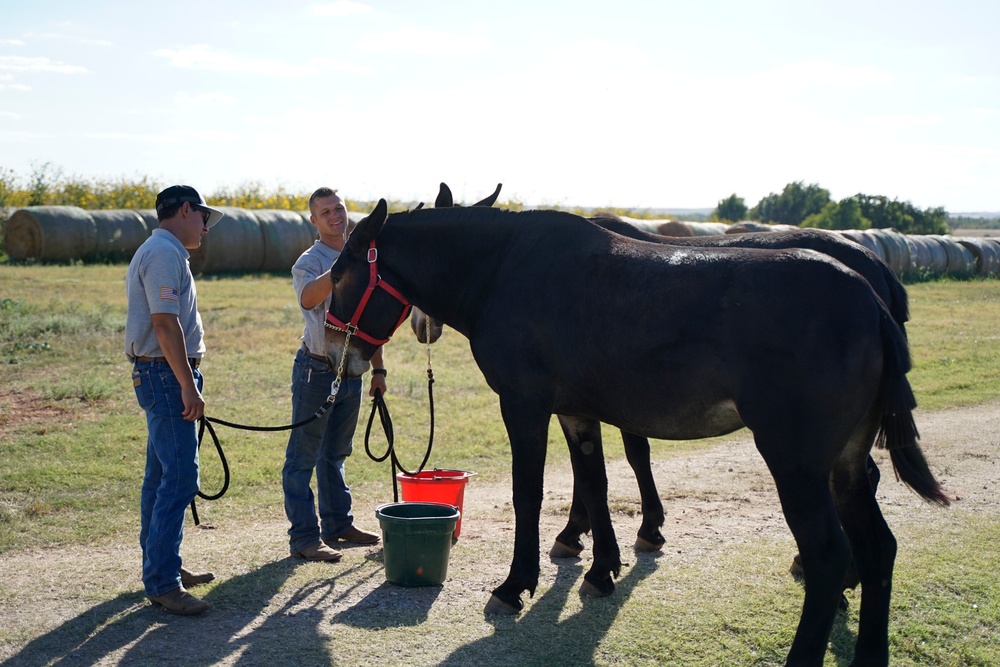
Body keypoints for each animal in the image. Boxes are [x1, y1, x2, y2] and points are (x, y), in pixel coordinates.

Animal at [324, 200, 948, 667]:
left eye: (340, 274)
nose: (335, 352)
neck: (503, 269)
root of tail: (869, 298)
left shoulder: (525, 407)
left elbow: (531, 493)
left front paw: (516, 583)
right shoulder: (578, 413)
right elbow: (595, 485)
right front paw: (601, 567)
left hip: (796, 463)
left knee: (826, 556)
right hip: (844, 464)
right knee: (878, 547)